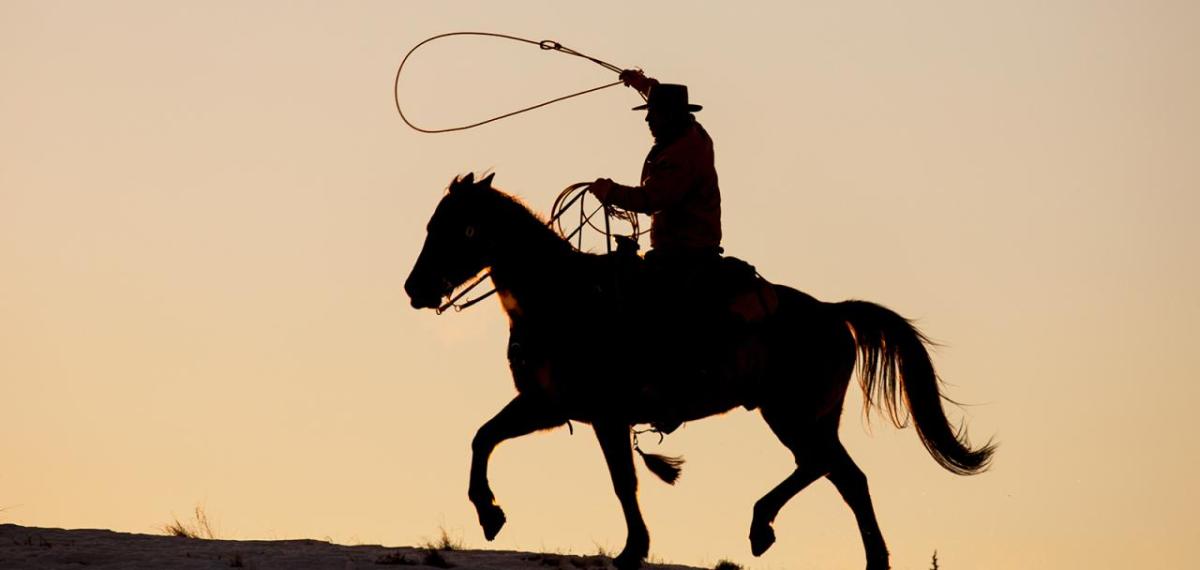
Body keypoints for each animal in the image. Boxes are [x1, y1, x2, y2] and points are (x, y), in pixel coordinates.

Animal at [405, 174, 993, 570]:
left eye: (458, 228)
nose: (415, 289)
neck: (565, 298)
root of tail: (831, 311)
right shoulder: (548, 405)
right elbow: (483, 437)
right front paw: (489, 515)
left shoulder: (605, 415)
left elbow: (623, 482)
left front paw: (633, 550)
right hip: (807, 418)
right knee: (836, 474)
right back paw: (795, 536)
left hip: (794, 415)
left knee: (838, 473)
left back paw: (805, 538)